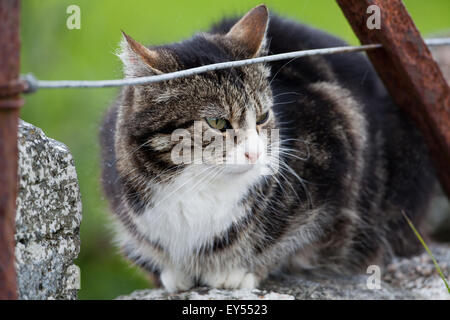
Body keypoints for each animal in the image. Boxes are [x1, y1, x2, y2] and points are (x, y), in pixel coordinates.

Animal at [99, 4, 436, 292]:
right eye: (217, 122)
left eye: (262, 117)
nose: (255, 153)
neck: (196, 184)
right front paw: (171, 271)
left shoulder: (338, 149)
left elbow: (295, 240)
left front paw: (239, 270)